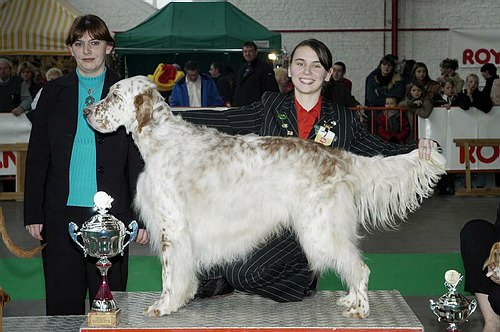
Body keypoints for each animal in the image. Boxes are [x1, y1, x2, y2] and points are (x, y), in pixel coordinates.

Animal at [84, 76, 448, 320]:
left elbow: (170, 273)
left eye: (114, 94)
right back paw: (349, 300)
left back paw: (359, 308)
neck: (162, 141)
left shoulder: (172, 226)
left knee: (358, 267)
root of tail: (337, 156)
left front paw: (163, 305)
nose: (87, 110)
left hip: (319, 228)